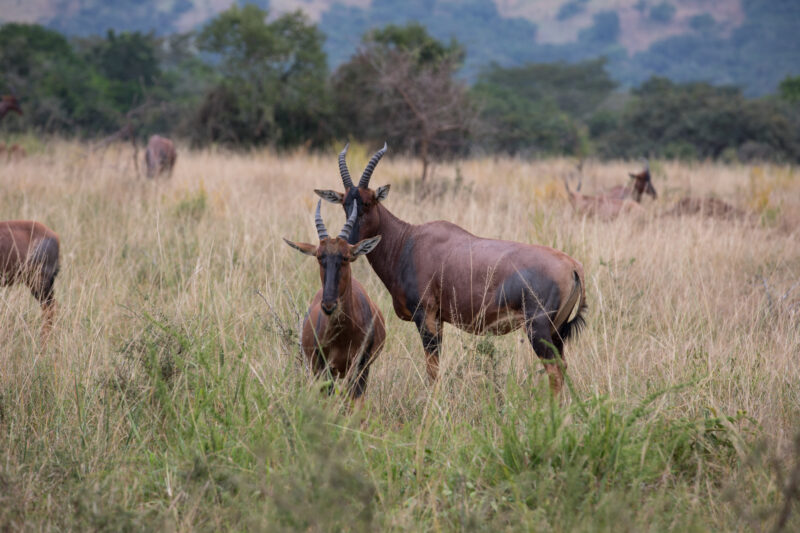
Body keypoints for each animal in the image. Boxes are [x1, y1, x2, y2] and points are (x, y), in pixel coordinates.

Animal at [284, 201, 386, 400]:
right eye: (318, 256)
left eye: (346, 256)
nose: (329, 305)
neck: (343, 334)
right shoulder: (323, 367)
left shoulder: (361, 366)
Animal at [316, 144, 587, 396]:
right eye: (344, 203)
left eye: (368, 202)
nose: (348, 246)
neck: (408, 241)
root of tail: (573, 265)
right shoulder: (439, 319)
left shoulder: (425, 316)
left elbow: (432, 370)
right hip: (556, 332)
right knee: (563, 366)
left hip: (538, 329)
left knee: (554, 370)